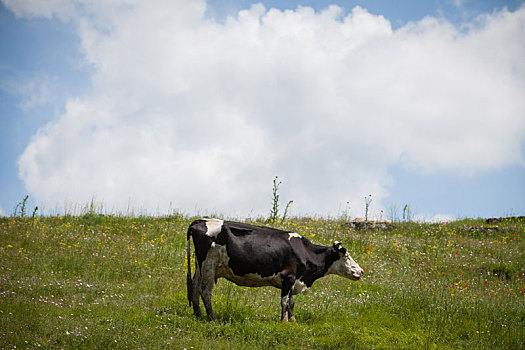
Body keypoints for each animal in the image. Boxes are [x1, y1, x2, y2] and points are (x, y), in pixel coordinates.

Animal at [186, 219, 362, 322]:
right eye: (347, 257)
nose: (361, 271)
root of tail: (202, 220)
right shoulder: (289, 276)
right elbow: (284, 301)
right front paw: (283, 321)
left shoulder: (293, 279)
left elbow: (291, 302)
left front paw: (293, 321)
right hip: (209, 265)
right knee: (205, 290)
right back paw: (212, 318)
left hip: (200, 267)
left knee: (194, 286)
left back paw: (198, 314)